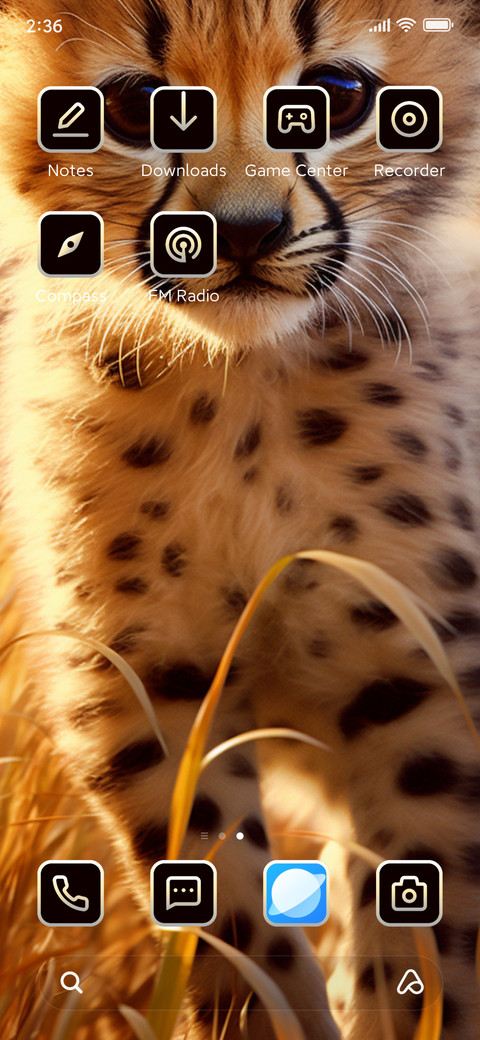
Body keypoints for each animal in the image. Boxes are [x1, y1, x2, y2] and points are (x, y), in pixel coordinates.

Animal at [1, 0, 480, 1038]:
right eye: (134, 107)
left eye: (336, 95)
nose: (244, 233)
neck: (242, 391)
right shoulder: (145, 680)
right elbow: (223, 911)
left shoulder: (420, 671)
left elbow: (436, 925)